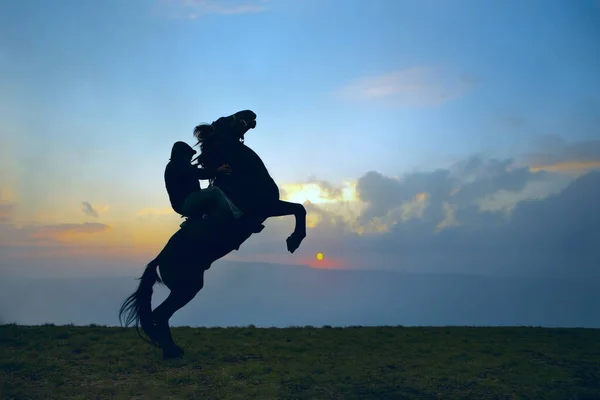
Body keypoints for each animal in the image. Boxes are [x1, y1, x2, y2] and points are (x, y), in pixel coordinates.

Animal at [118, 112, 304, 360]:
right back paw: (172, 351)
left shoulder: (269, 206)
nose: (249, 113)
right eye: (225, 119)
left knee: (159, 317)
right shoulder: (267, 206)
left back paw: (172, 350)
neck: (242, 174)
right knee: (159, 315)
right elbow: (299, 208)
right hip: (187, 287)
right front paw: (294, 241)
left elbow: (299, 208)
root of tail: (159, 260)